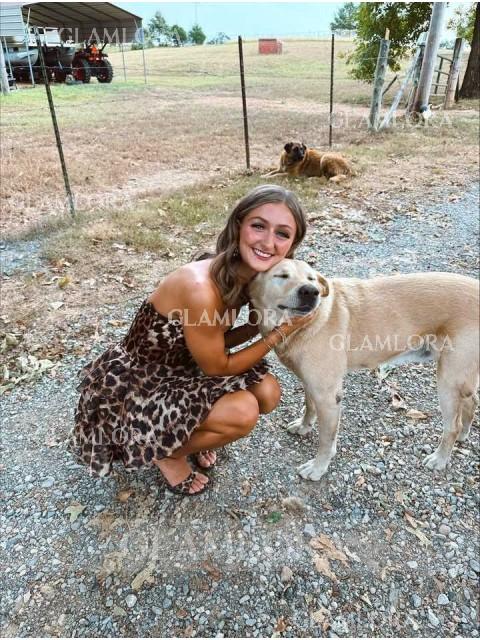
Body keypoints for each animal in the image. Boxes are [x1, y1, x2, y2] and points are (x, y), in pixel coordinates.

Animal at [249, 259, 479, 481]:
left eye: (311, 278)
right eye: (281, 275)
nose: (311, 291)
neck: (305, 324)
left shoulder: (328, 396)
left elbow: (326, 441)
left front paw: (318, 468)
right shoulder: (311, 384)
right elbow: (309, 406)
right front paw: (304, 427)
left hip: (448, 380)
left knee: (453, 425)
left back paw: (440, 458)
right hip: (460, 376)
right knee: (471, 402)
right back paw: (463, 435)